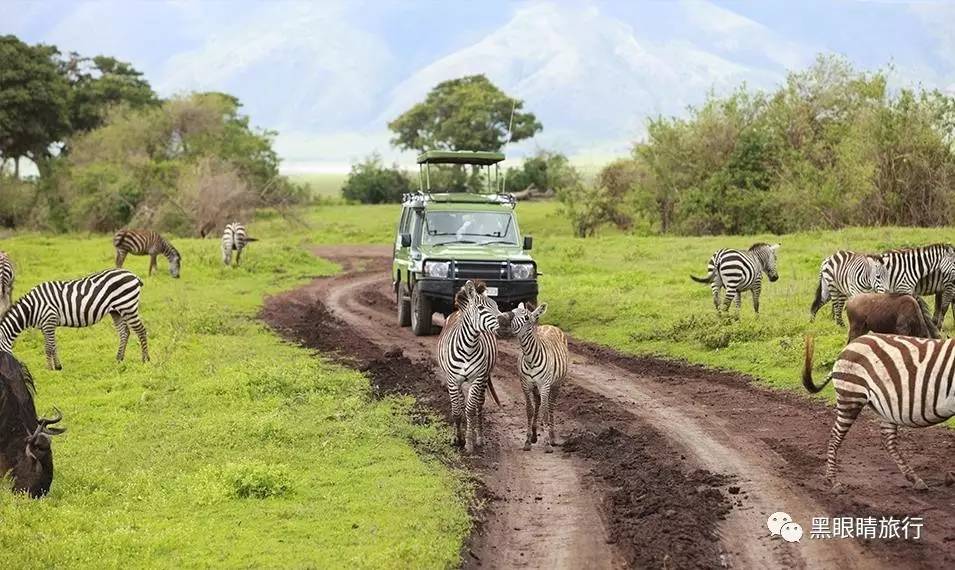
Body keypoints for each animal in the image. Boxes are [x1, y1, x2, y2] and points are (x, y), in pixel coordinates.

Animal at [0, 268, 148, 370]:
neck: (32, 307)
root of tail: (133, 275)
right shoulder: (45, 325)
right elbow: (52, 345)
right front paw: (57, 367)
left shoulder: (49, 320)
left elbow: (48, 347)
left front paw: (49, 369)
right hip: (116, 311)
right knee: (124, 332)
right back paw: (119, 359)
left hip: (127, 305)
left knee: (140, 330)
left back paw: (145, 359)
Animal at [436, 280, 504, 452]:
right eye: (481, 308)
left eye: (496, 305)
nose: (505, 322)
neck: (468, 347)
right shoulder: (452, 380)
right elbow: (456, 411)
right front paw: (456, 438)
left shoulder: (477, 379)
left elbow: (470, 410)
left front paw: (469, 442)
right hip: (458, 381)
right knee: (460, 403)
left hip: (484, 378)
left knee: (479, 406)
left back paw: (478, 437)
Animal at [508, 300, 568, 450]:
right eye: (512, 312)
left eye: (526, 318)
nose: (504, 321)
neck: (530, 358)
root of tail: (550, 326)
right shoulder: (526, 385)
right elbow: (529, 410)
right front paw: (528, 441)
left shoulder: (545, 385)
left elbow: (545, 412)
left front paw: (547, 444)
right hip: (536, 388)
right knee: (537, 404)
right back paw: (535, 435)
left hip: (556, 384)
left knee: (550, 406)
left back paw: (552, 437)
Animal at [808, 332, 955, 488]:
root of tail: (850, 345)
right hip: (851, 396)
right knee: (835, 435)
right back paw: (832, 480)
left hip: (885, 408)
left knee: (888, 440)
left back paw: (915, 479)